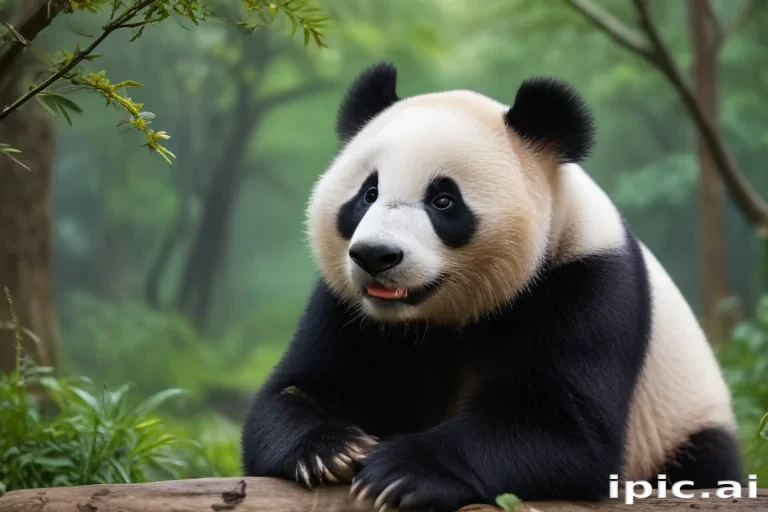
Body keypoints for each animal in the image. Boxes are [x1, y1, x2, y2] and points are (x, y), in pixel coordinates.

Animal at [241, 61, 742, 511]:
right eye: (368, 194)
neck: (438, 319)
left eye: (443, 200)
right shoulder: (347, 305)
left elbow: (562, 430)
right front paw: (331, 448)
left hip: (683, 424)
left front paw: (403, 471)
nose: (376, 256)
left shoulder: (586, 281)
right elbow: (290, 393)